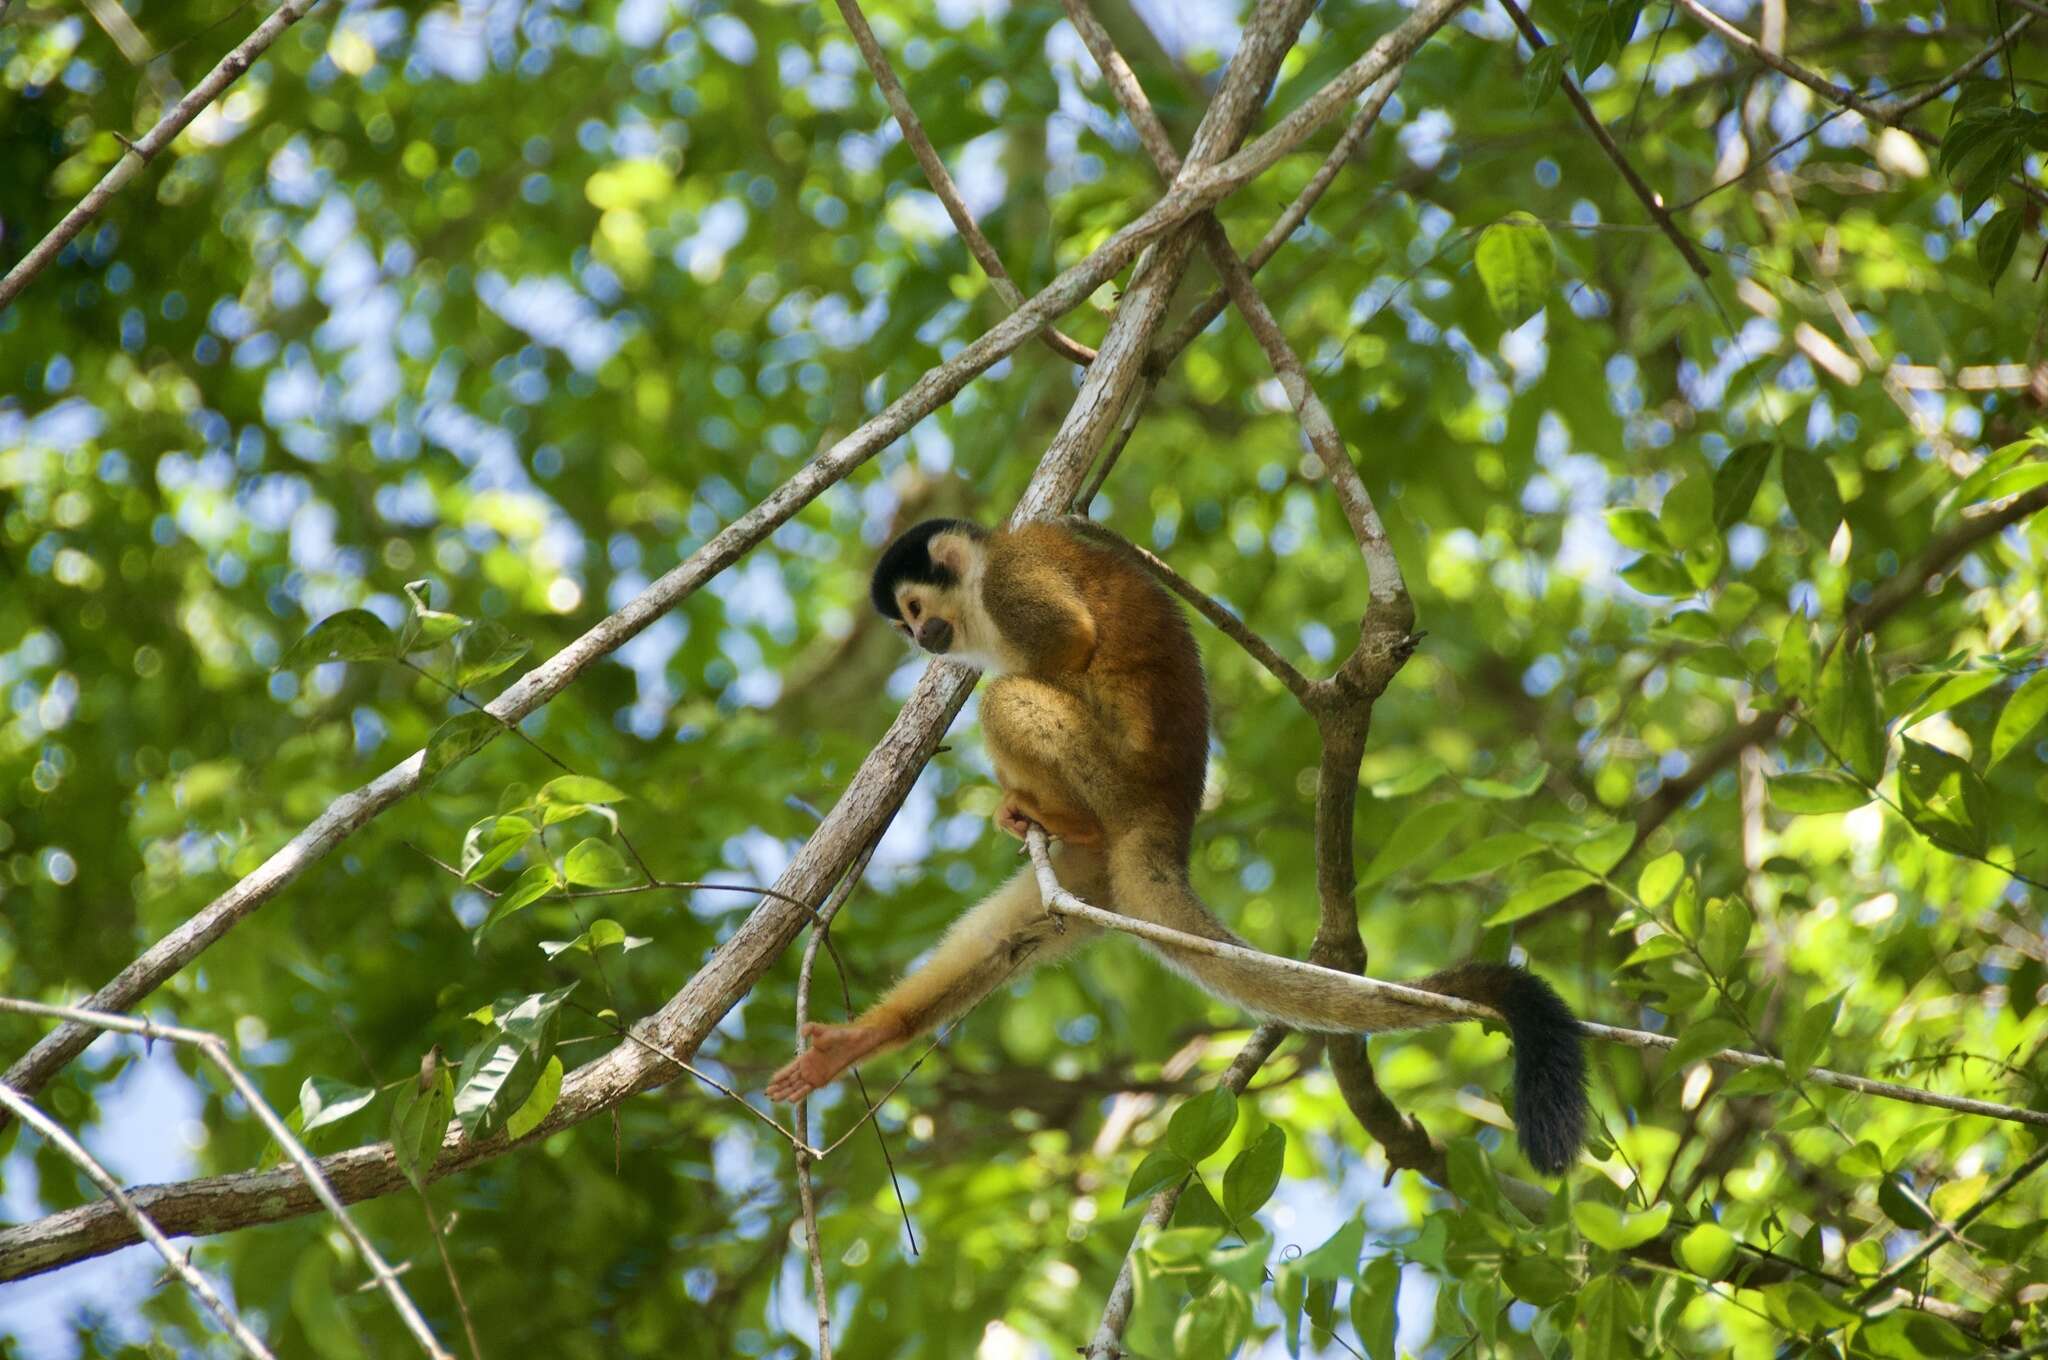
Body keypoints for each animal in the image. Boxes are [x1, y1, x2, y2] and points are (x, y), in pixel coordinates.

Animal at [770, 516, 1581, 1171]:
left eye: (914, 612)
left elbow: (1065, 642)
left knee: (1010, 695)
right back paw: (872, 1034)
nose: (921, 639)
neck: (979, 582)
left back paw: (1058, 813)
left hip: (1115, 778)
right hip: (1094, 880)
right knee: (1009, 939)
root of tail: (1170, 821)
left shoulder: (1011, 582)